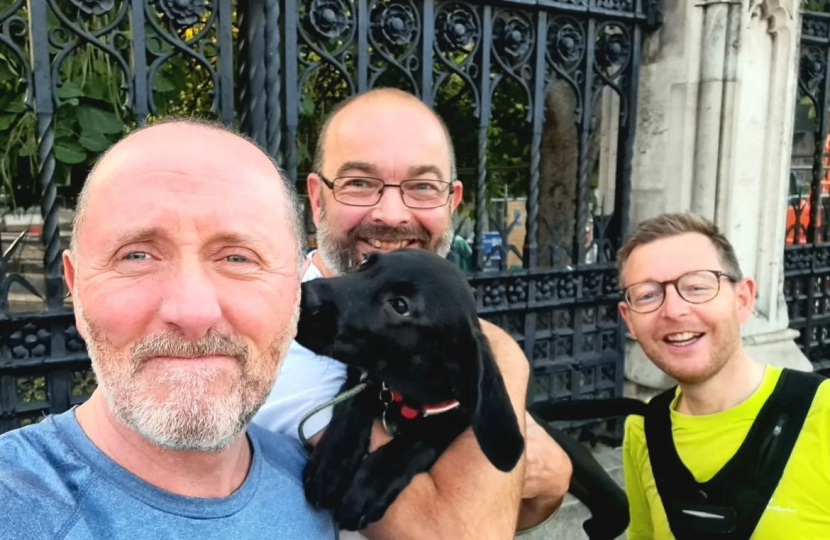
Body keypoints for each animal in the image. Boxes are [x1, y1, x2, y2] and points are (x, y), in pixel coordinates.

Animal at [296, 250, 524, 532]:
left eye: (400, 305)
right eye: (365, 262)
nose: (304, 294)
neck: (403, 397)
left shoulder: (455, 414)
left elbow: (423, 437)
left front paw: (368, 488)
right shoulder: (363, 376)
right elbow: (352, 404)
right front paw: (331, 464)